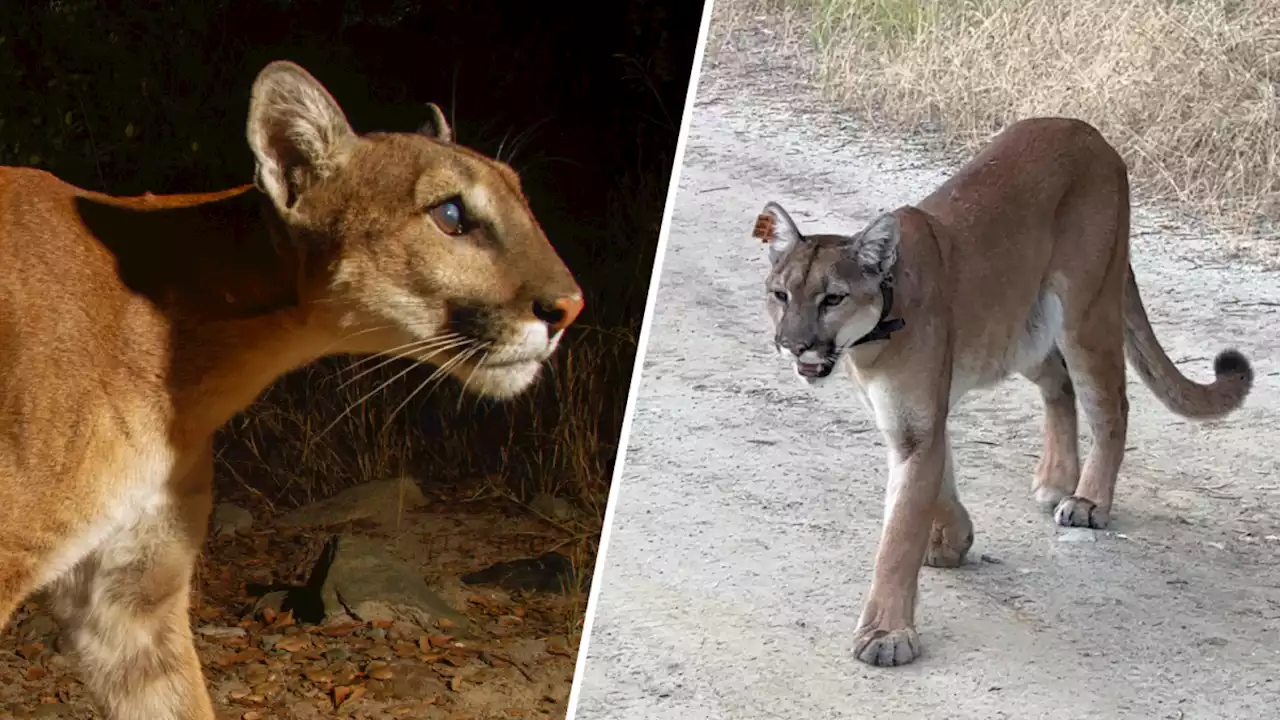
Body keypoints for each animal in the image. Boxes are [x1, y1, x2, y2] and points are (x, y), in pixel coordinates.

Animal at [747, 116, 1249, 666]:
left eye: (832, 298)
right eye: (780, 295)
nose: (792, 344)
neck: (873, 336)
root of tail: (1090, 133)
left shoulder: (915, 424)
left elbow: (900, 531)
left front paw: (886, 634)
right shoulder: (913, 421)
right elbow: (938, 480)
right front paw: (952, 539)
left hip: (1086, 311)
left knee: (1111, 404)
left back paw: (1088, 500)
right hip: (1021, 335)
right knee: (1059, 382)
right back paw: (1056, 479)